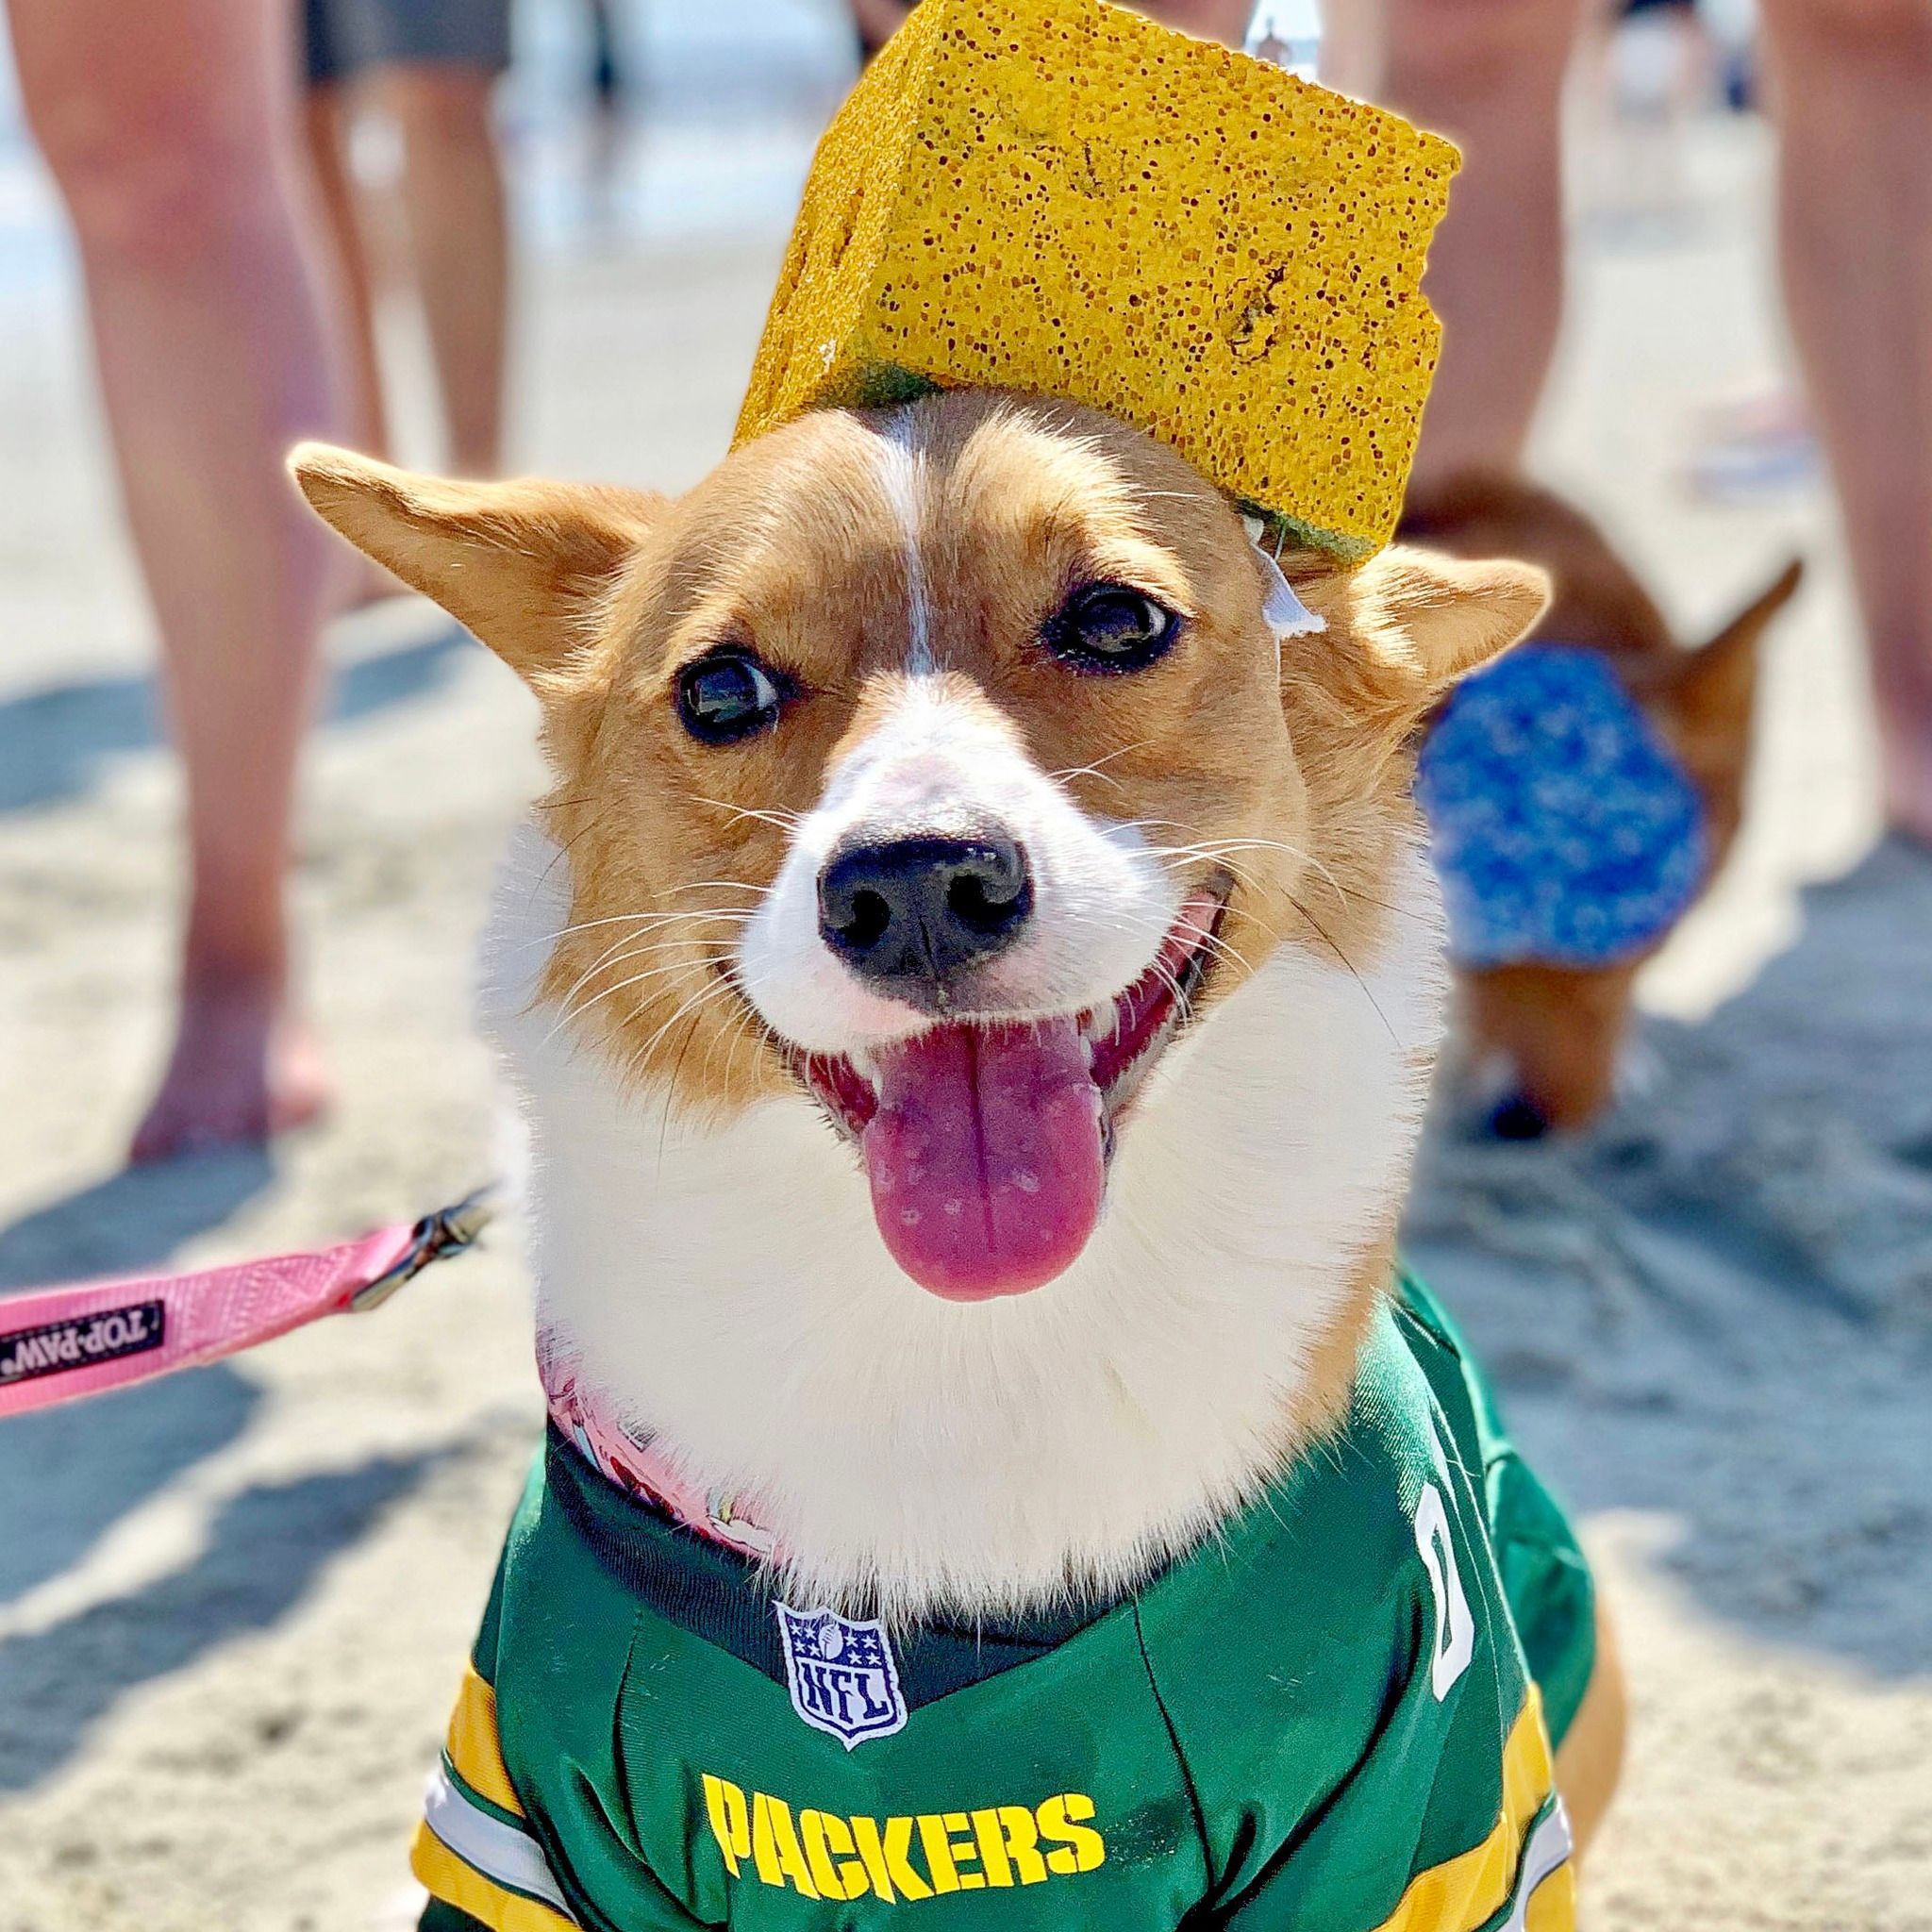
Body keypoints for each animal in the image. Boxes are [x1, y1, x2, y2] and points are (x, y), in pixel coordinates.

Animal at [290, 388, 1615, 1932]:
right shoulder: (538, 1816)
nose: (917, 885)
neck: (960, 1339)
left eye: (1115, 620)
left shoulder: (1415, 1803)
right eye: (721, 693)